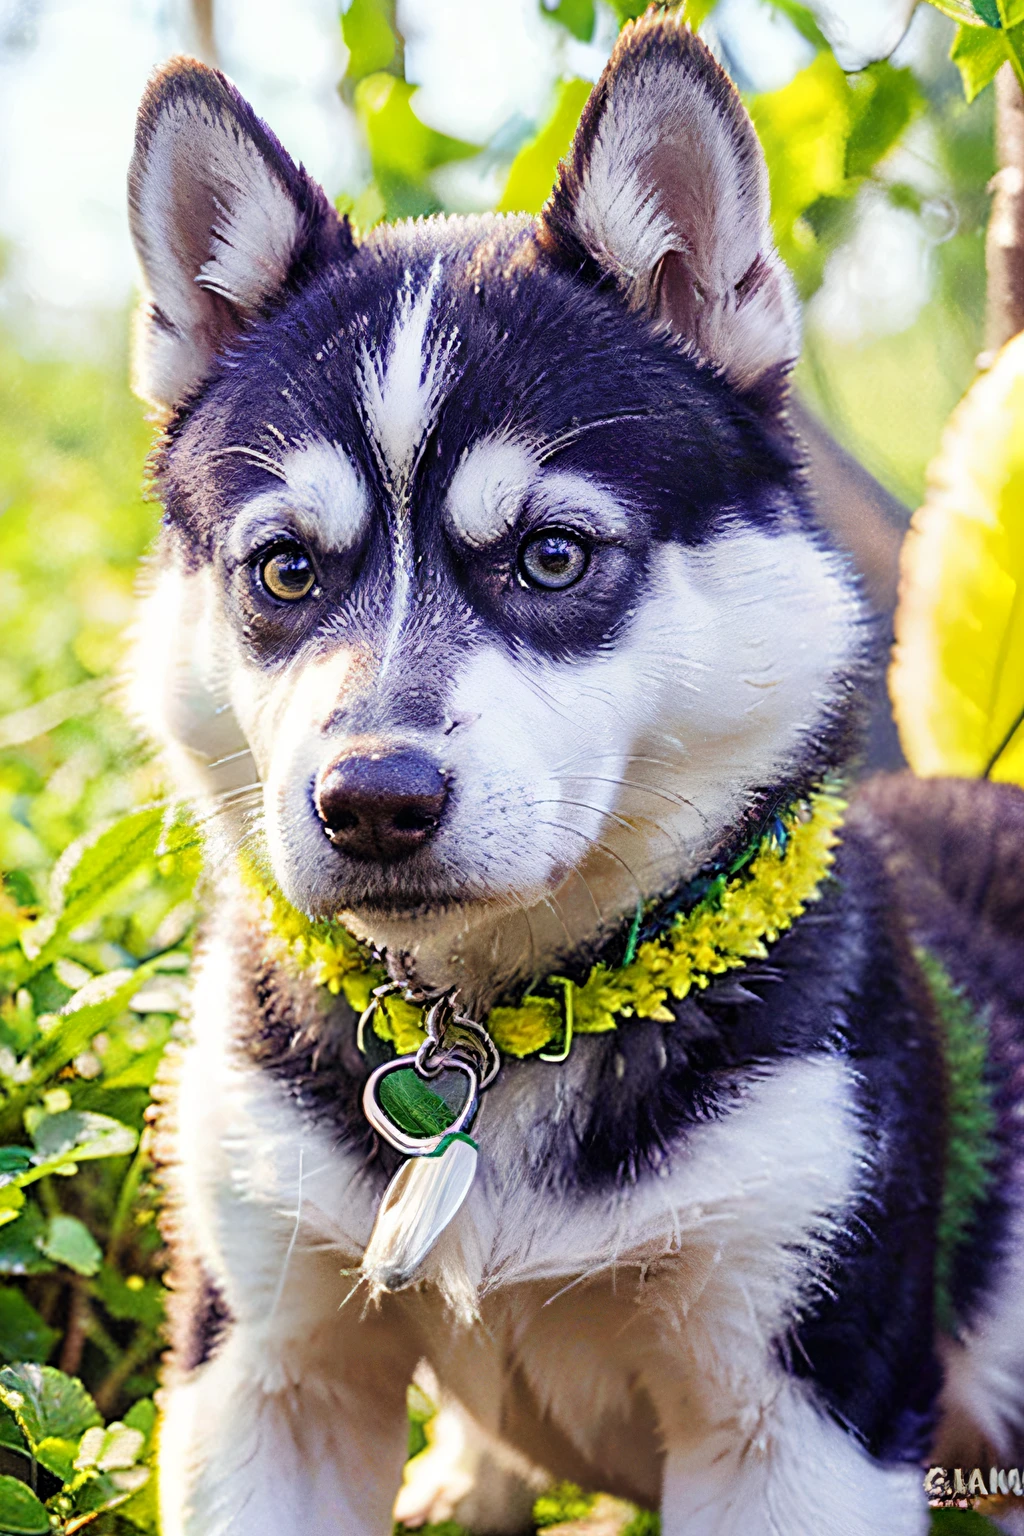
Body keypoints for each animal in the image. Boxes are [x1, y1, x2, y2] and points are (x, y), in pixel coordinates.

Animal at [125, 14, 1024, 1536]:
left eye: (552, 556)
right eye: (285, 571)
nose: (372, 803)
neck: (495, 1028)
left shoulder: (795, 1426)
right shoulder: (268, 1379)